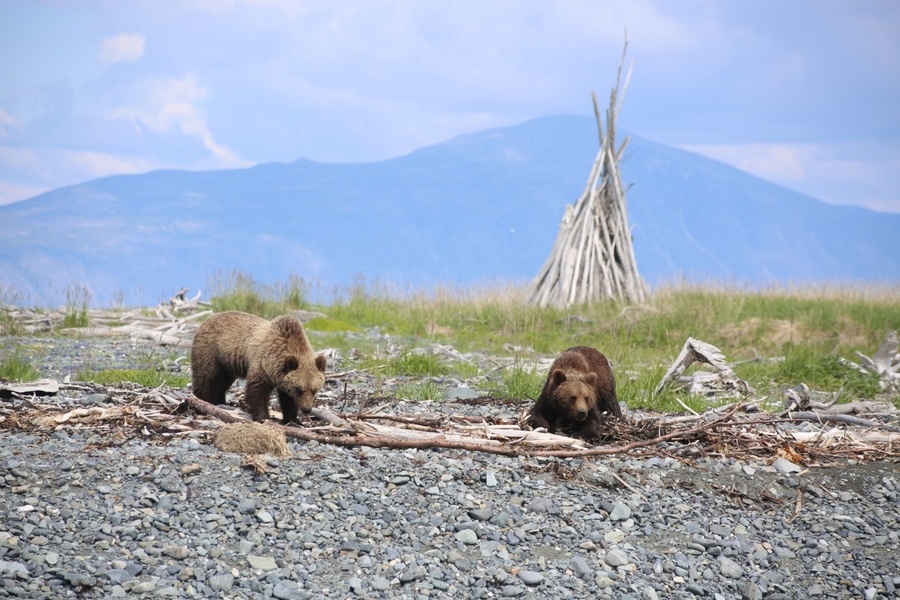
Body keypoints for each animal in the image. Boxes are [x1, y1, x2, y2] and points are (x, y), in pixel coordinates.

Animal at [190, 312, 326, 424]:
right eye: (299, 389)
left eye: (314, 390)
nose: (307, 409)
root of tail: (207, 319)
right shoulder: (263, 364)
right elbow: (256, 391)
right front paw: (264, 417)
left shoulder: (282, 376)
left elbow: (288, 399)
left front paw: (293, 420)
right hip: (210, 351)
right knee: (206, 377)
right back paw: (202, 403)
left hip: (227, 364)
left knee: (222, 382)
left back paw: (220, 402)